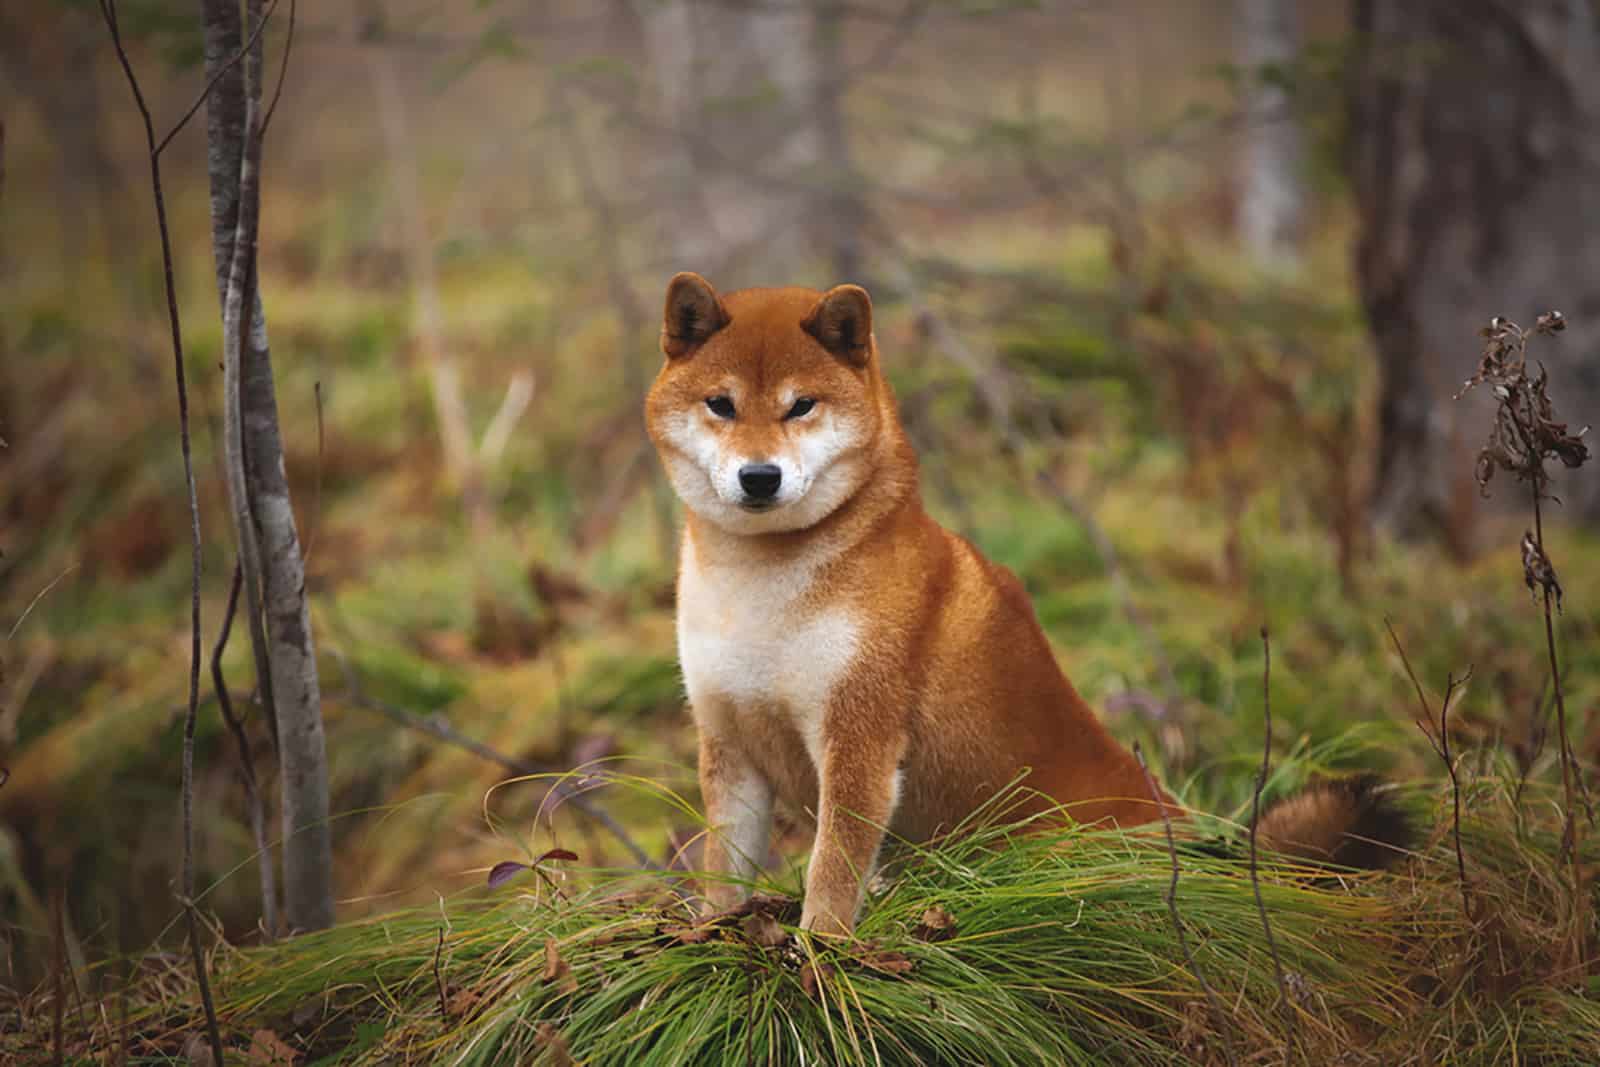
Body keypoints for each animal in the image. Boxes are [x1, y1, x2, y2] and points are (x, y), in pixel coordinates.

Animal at [643, 273, 1408, 934]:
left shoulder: (859, 742)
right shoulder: (731, 744)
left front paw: (819, 956)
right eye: (721, 404)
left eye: (801, 405)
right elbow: (721, 874)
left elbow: (830, 877)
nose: (760, 476)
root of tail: (1203, 844)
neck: (762, 589)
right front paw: (710, 935)